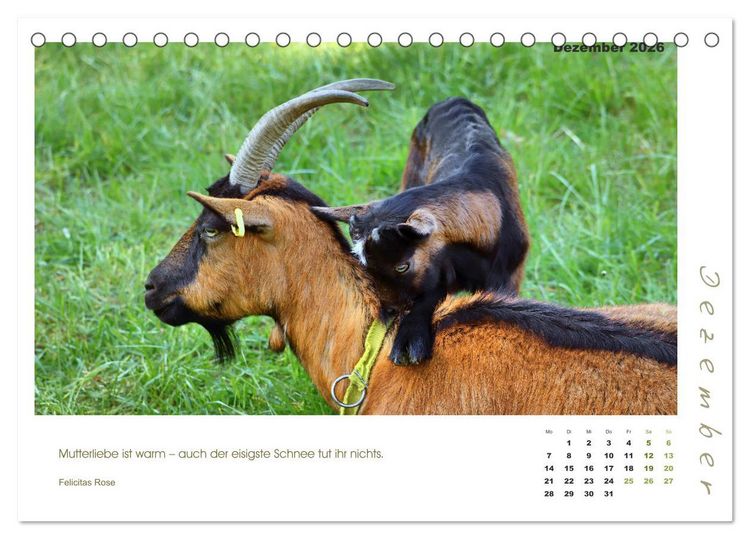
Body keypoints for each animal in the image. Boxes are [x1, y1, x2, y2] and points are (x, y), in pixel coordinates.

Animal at [313, 97, 530, 365]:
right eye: (365, 267)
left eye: (402, 266)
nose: (387, 312)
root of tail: (455, 100)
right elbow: (430, 294)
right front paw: (409, 342)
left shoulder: (509, 277)